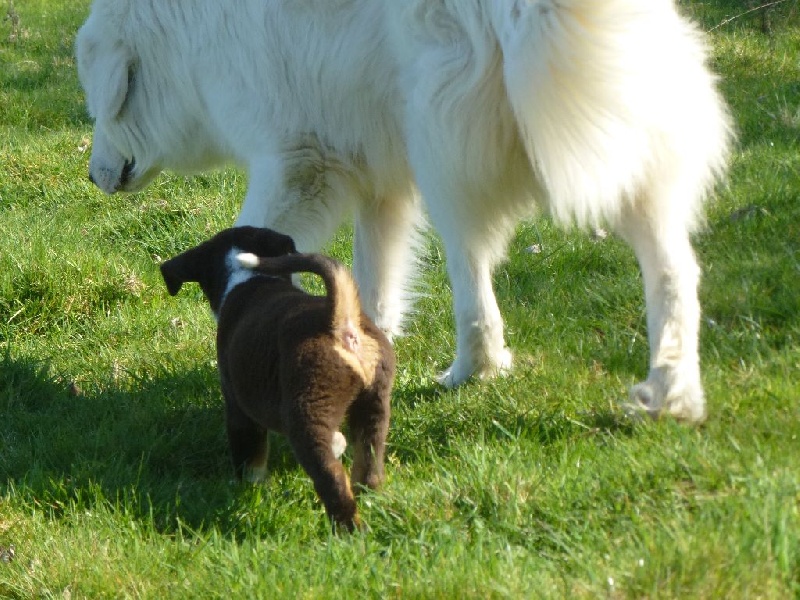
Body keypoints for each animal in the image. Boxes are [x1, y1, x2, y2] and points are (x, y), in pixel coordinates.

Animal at [76, 0, 732, 422]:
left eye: (95, 104)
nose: (92, 176)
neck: (184, 37)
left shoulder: (299, 163)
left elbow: (246, 247)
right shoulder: (379, 184)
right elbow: (373, 284)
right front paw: (358, 354)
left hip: (446, 164)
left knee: (474, 289)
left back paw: (474, 370)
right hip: (623, 157)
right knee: (675, 274)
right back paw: (672, 394)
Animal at [160, 226, 394, 528]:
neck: (248, 278)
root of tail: (340, 324)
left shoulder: (238, 409)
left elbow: (250, 460)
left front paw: (251, 489)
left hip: (308, 412)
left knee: (332, 479)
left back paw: (349, 529)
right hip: (374, 404)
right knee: (368, 465)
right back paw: (370, 499)